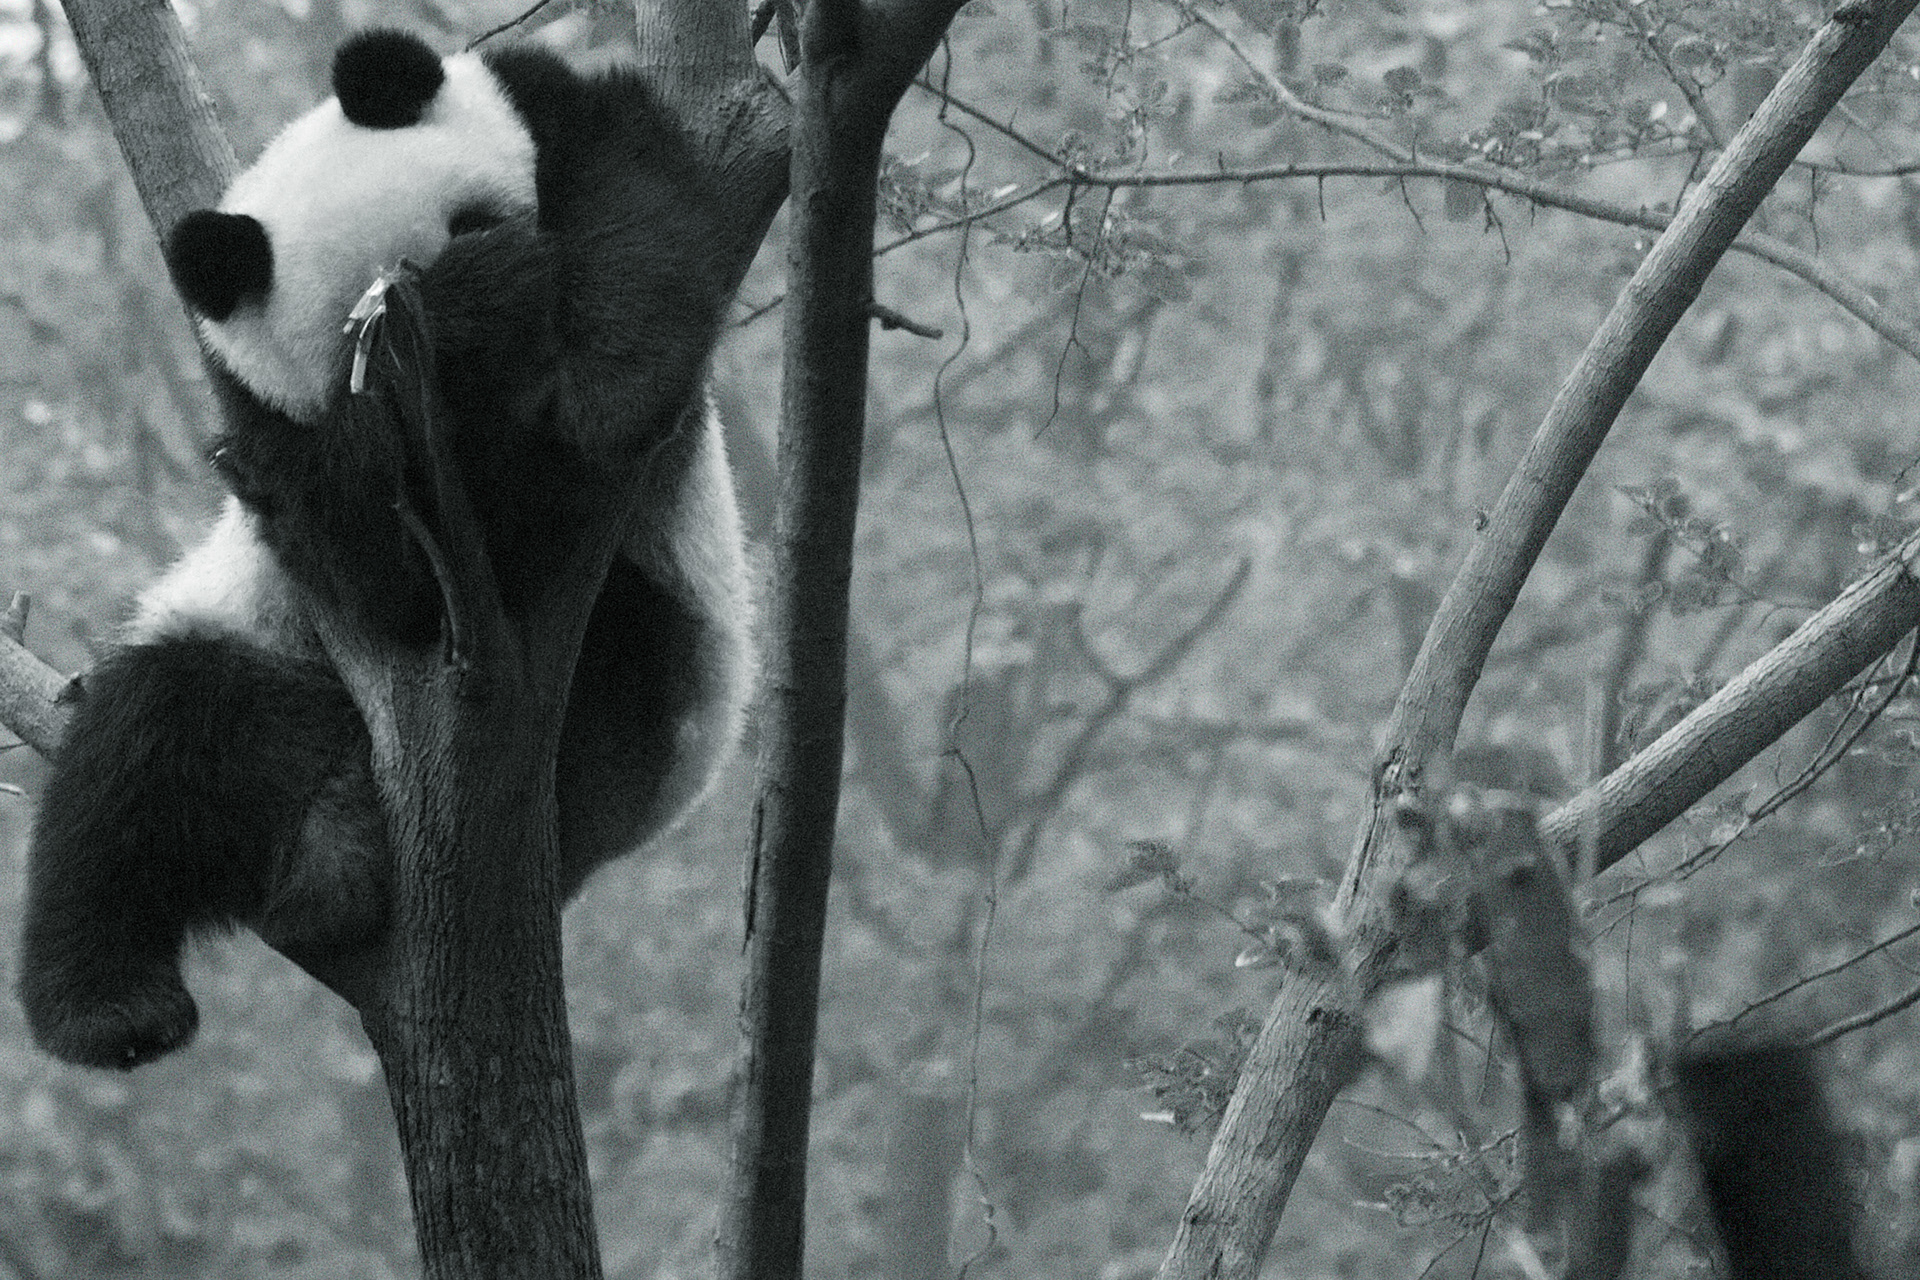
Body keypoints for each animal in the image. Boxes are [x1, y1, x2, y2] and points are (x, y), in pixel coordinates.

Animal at [17, 29, 752, 1069]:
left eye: (475, 220)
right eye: (365, 343)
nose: (500, 312)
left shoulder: (564, 123)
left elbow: (640, 215)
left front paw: (605, 385)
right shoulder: (267, 413)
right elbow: (378, 567)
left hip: (654, 662)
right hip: (264, 657)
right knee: (135, 765)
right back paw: (139, 992)